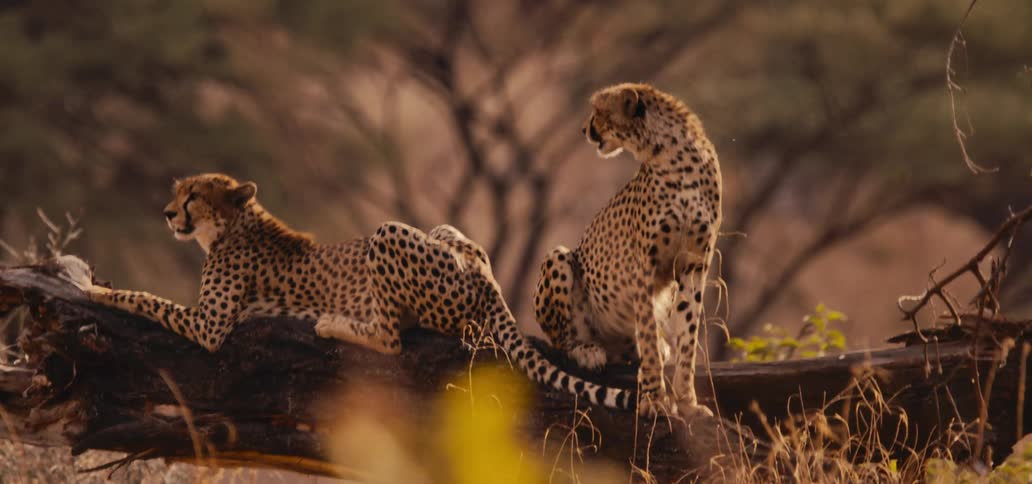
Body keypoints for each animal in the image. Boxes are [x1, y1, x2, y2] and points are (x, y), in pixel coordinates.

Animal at [62, 173, 635, 409]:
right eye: (177, 192)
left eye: (193, 196)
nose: (165, 213)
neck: (232, 226)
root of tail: (485, 277)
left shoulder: (210, 326)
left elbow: (145, 298)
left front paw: (91, 287)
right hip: (444, 233)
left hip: (386, 234)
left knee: (392, 338)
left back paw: (334, 323)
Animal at [532, 83, 722, 417]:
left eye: (598, 111)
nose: (583, 129)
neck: (674, 156)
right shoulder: (643, 266)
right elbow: (646, 333)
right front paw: (654, 400)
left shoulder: (694, 264)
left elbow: (688, 336)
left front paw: (687, 401)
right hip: (559, 256)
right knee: (561, 340)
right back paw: (587, 350)